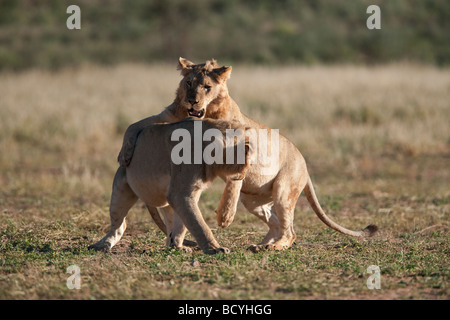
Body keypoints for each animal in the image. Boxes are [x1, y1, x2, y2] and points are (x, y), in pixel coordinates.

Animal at [89, 117, 253, 255]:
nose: (243, 175)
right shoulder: (180, 194)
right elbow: (198, 224)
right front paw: (215, 248)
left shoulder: (187, 193)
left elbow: (185, 223)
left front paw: (180, 245)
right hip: (121, 188)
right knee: (119, 226)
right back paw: (102, 245)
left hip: (166, 202)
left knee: (171, 223)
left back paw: (175, 246)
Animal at [115, 58, 376, 252]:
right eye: (188, 83)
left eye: (206, 87)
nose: (192, 100)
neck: (204, 113)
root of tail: (304, 162)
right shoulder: (166, 116)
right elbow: (134, 125)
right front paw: (124, 154)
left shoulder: (242, 140)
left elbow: (234, 182)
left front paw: (225, 215)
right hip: (254, 202)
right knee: (275, 224)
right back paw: (259, 245)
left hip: (284, 191)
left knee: (290, 231)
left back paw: (273, 247)